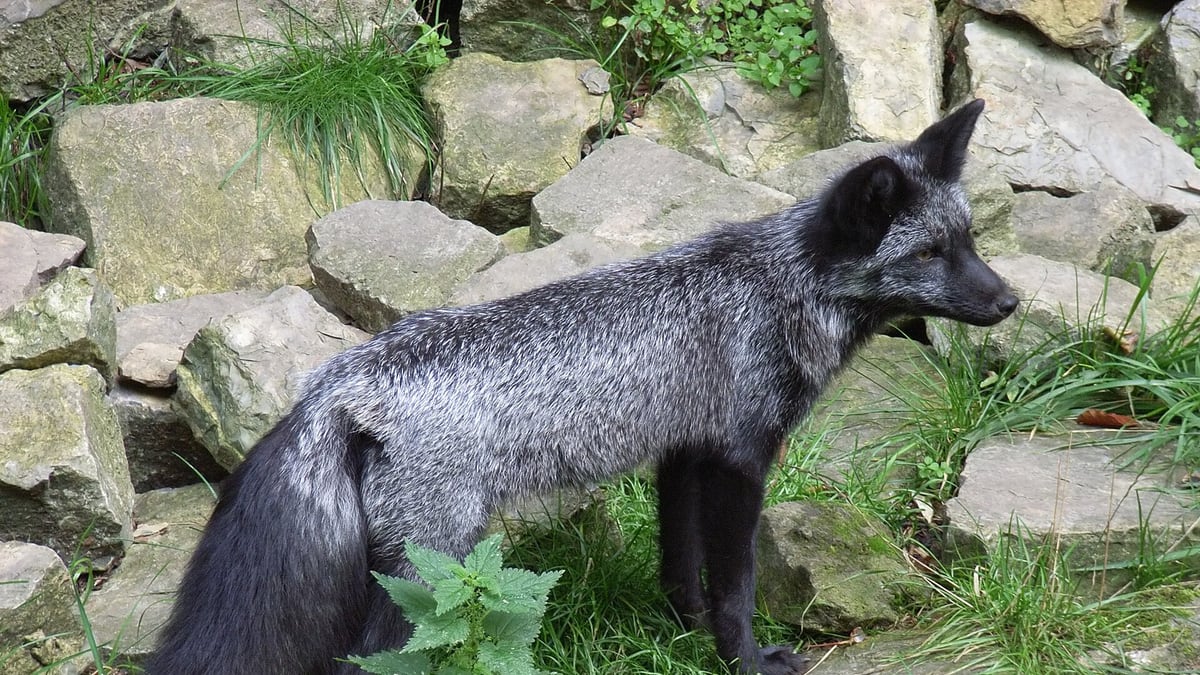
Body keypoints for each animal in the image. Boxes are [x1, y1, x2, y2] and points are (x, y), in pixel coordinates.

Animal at [147, 98, 1017, 675]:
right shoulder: (740, 460)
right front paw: (743, 659)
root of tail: (335, 382)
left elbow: (683, 568)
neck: (774, 290)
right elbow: (735, 586)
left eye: (969, 239)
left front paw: (682, 632)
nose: (1010, 302)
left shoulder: (684, 453)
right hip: (427, 571)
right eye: (929, 253)